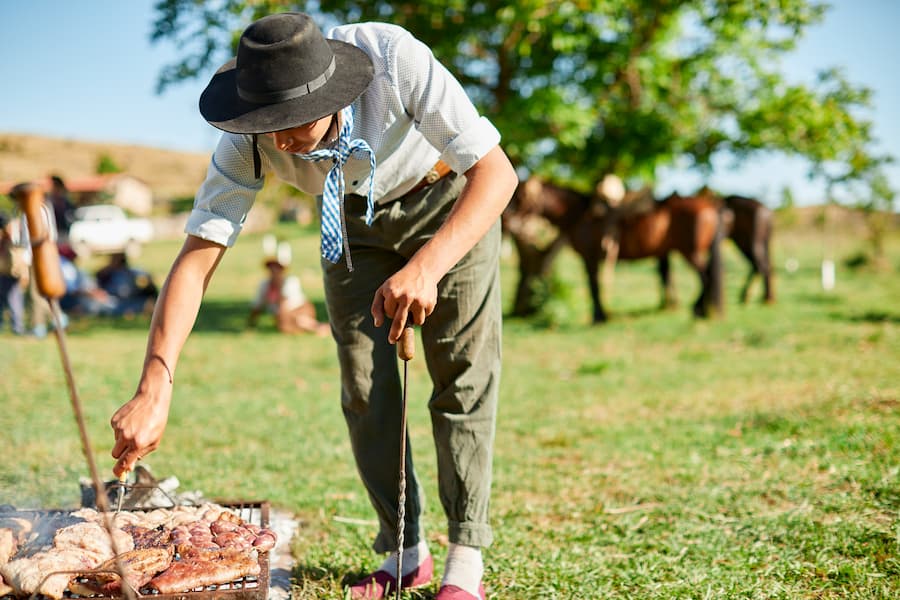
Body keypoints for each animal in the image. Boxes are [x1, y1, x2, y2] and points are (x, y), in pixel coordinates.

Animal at [506, 178, 724, 324]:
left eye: (521, 196)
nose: (508, 221)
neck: (580, 215)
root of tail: (710, 205)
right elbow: (594, 286)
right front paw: (600, 315)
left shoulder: (589, 257)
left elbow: (593, 286)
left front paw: (598, 317)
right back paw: (702, 310)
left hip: (690, 251)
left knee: (705, 277)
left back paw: (698, 310)